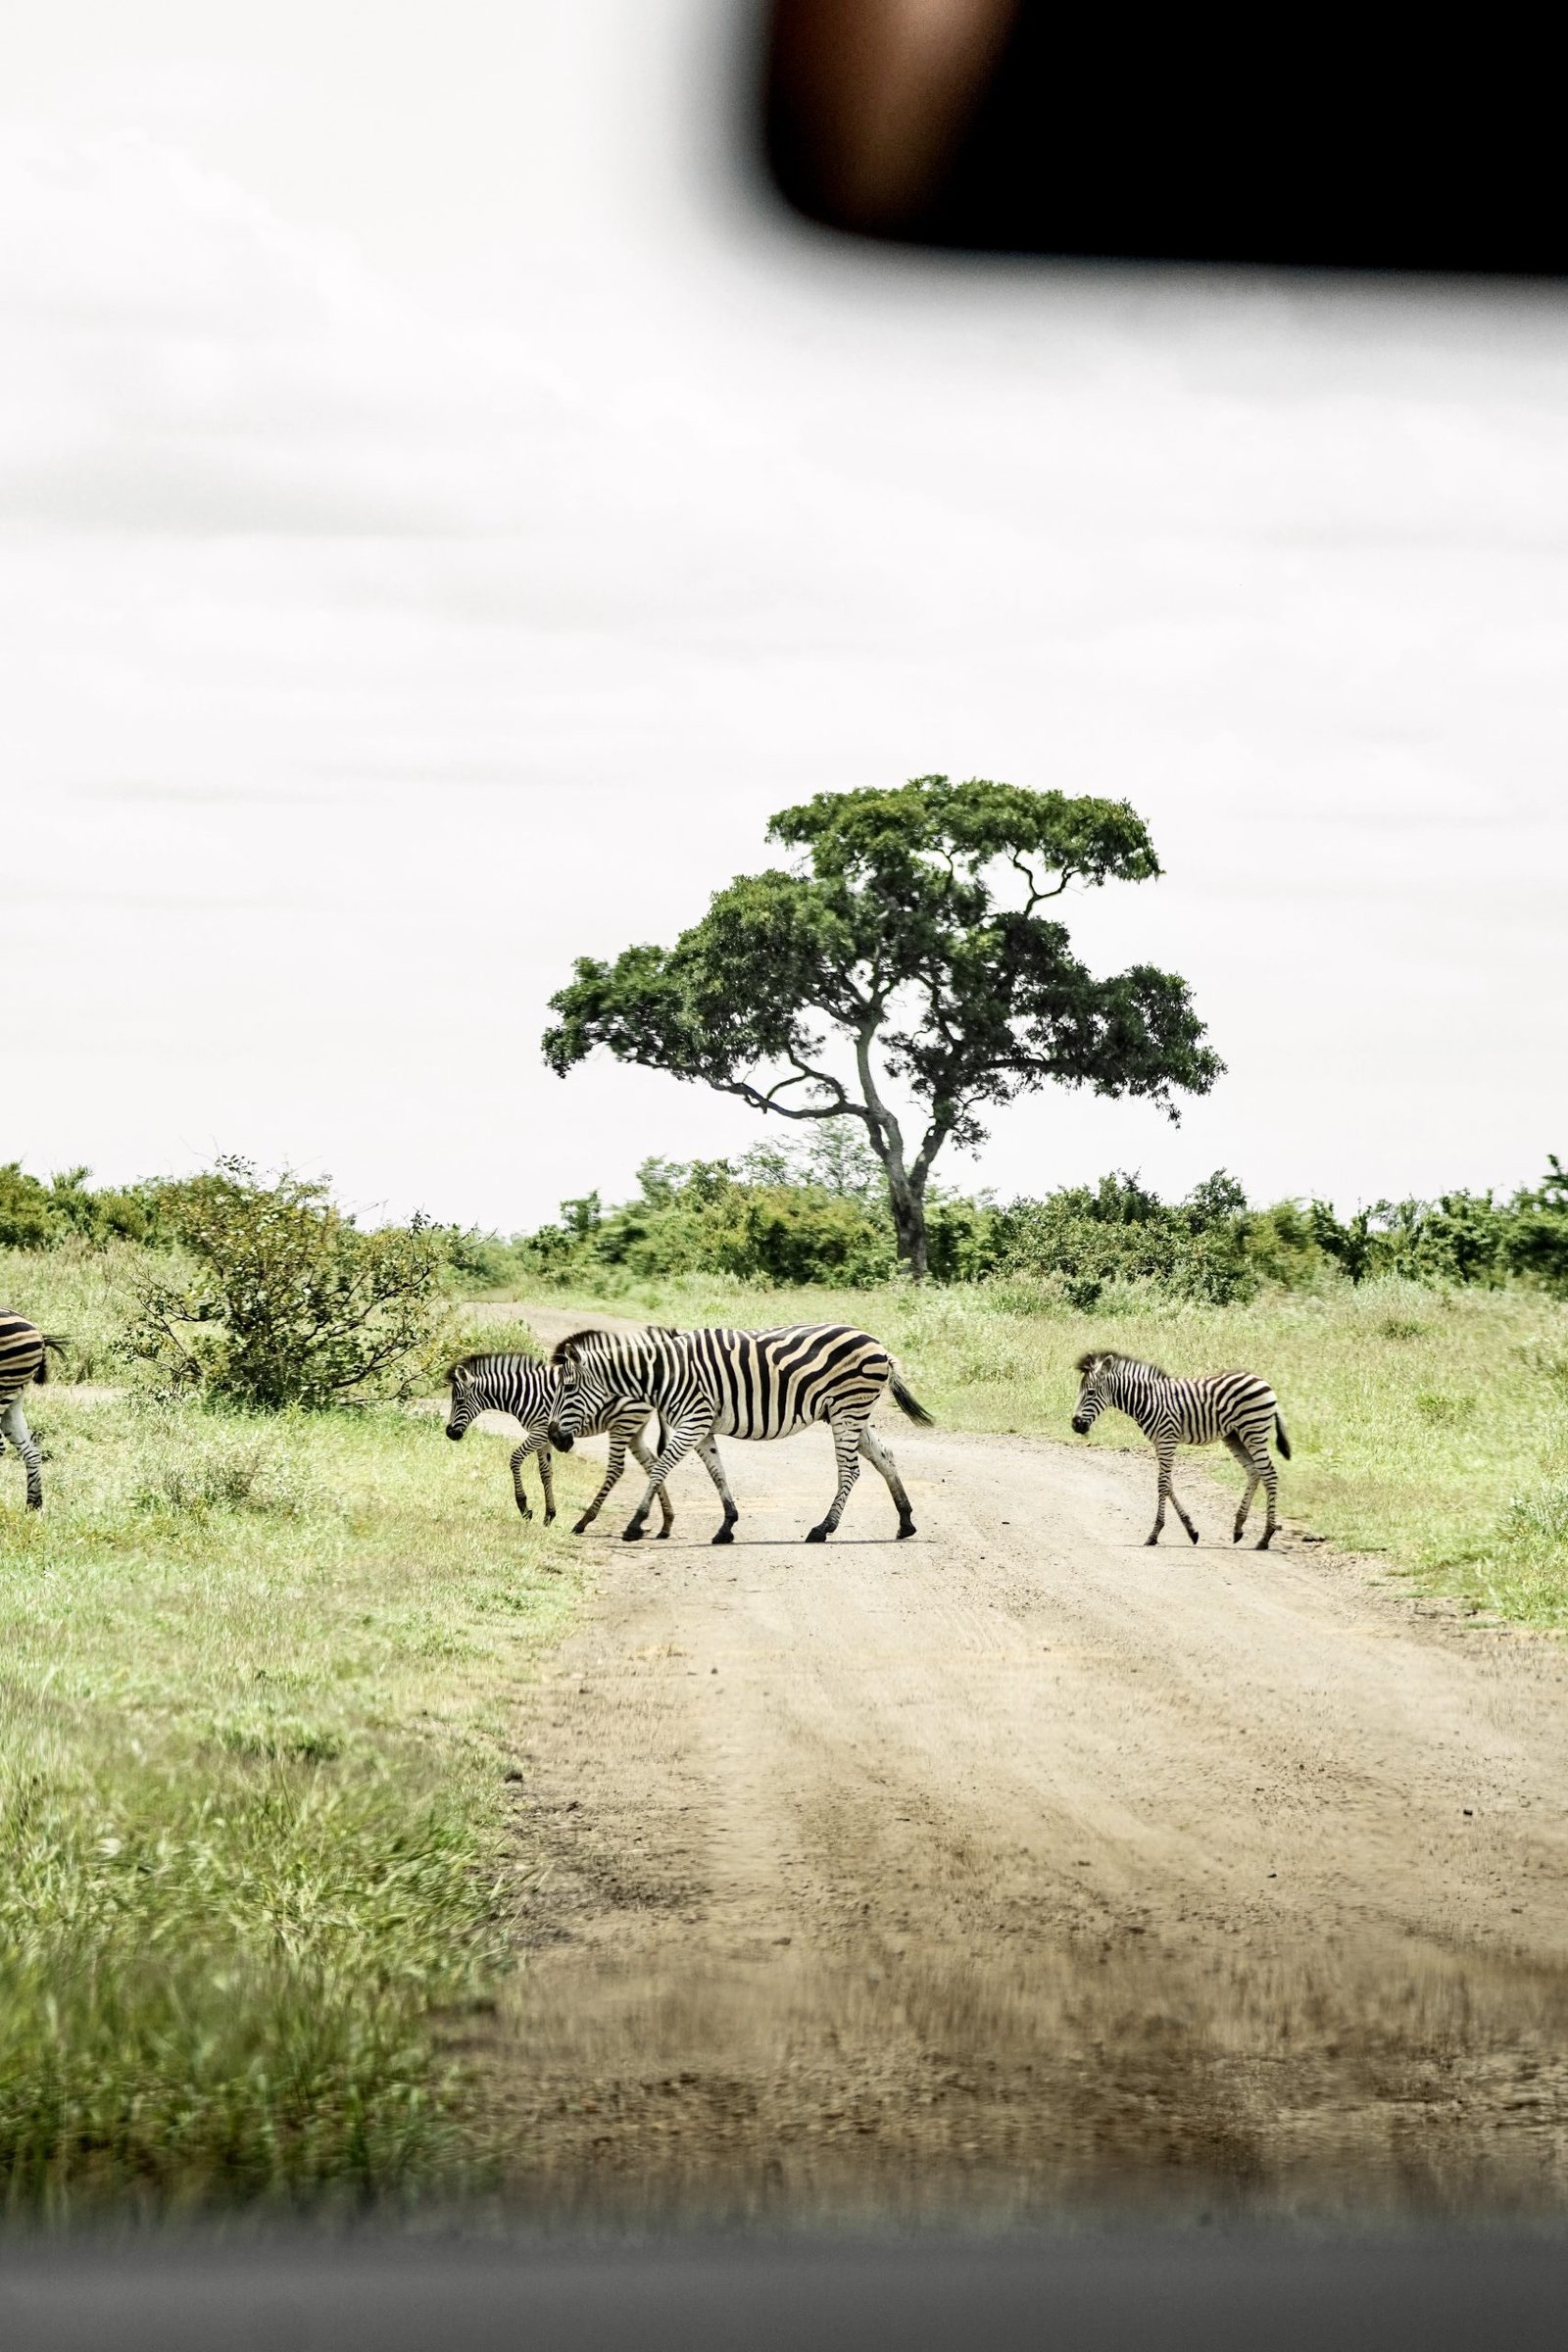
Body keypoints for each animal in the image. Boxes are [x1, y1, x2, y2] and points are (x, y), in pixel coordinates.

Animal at [444, 1354, 728, 1533]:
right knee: (652, 1466)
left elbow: (514, 1459)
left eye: (459, 1401)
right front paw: (549, 1514)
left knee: (618, 1469)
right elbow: (545, 1472)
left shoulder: (539, 1431)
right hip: (634, 1428)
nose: (449, 1434)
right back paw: (666, 1521)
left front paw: (524, 1507)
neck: (525, 1393)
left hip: (622, 1425)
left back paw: (585, 1521)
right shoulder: (545, 1436)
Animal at [545, 1326, 930, 1543]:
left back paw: (823, 1528)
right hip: (849, 1412)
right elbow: (718, 1473)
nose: (555, 1438)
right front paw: (727, 1526)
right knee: (885, 1458)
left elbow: (660, 1469)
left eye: (567, 1388)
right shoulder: (701, 1428)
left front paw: (635, 1525)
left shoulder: (693, 1421)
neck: (661, 1375)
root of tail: (880, 1348)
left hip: (848, 1408)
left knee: (850, 1469)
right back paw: (906, 1522)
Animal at [1071, 1354, 1298, 1552]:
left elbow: (1162, 1485)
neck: (1146, 1400)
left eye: (1090, 1392)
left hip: (1253, 1431)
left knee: (1269, 1474)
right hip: (1235, 1435)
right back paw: (1239, 1528)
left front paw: (1154, 1534)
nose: (1075, 1425)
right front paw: (1191, 1530)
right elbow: (1168, 1484)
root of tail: (1262, 1381)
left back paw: (1265, 1537)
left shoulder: (1167, 1440)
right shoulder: (1160, 1443)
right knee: (1254, 1471)